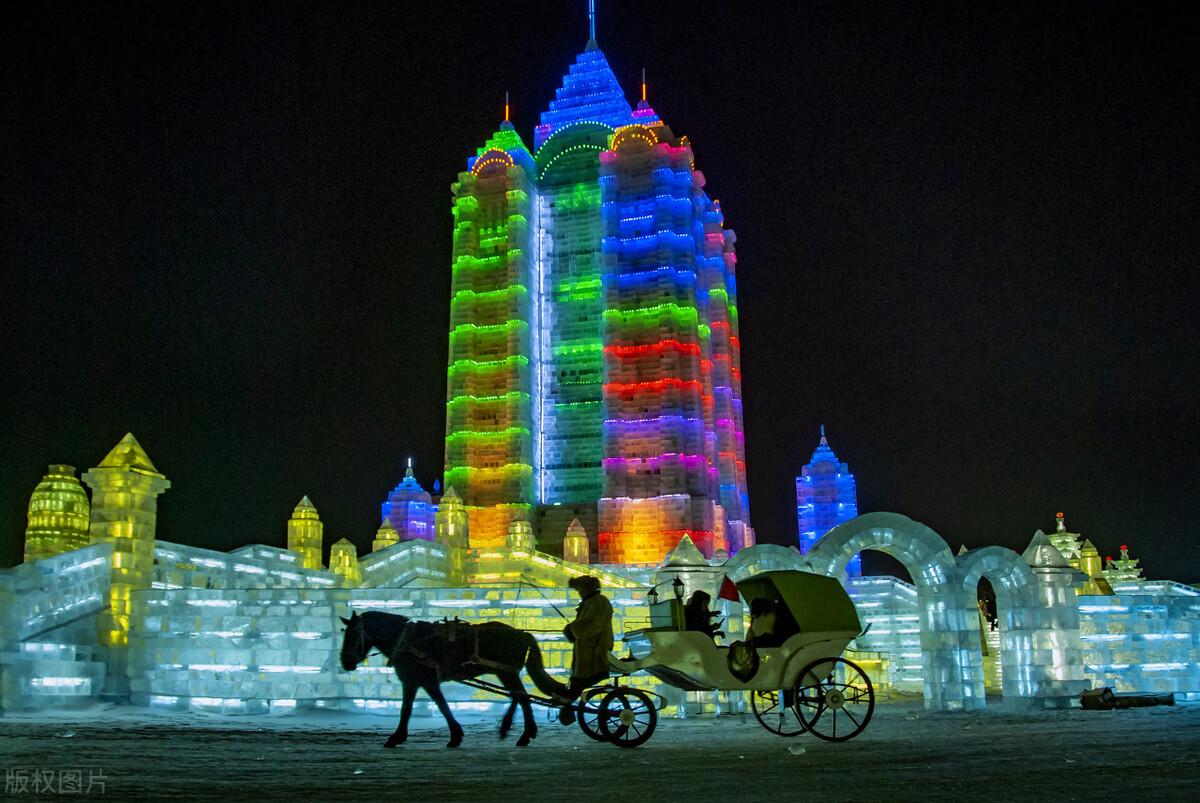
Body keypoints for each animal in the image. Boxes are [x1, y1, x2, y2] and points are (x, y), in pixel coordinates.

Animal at [340, 609, 568, 748]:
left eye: (353, 635)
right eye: (345, 633)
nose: (345, 662)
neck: (407, 639)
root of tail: (522, 634)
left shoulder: (423, 681)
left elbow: (434, 706)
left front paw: (454, 736)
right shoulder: (415, 682)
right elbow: (414, 708)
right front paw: (399, 736)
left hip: (506, 672)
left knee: (521, 697)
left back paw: (520, 733)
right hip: (505, 672)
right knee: (518, 697)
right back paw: (515, 729)